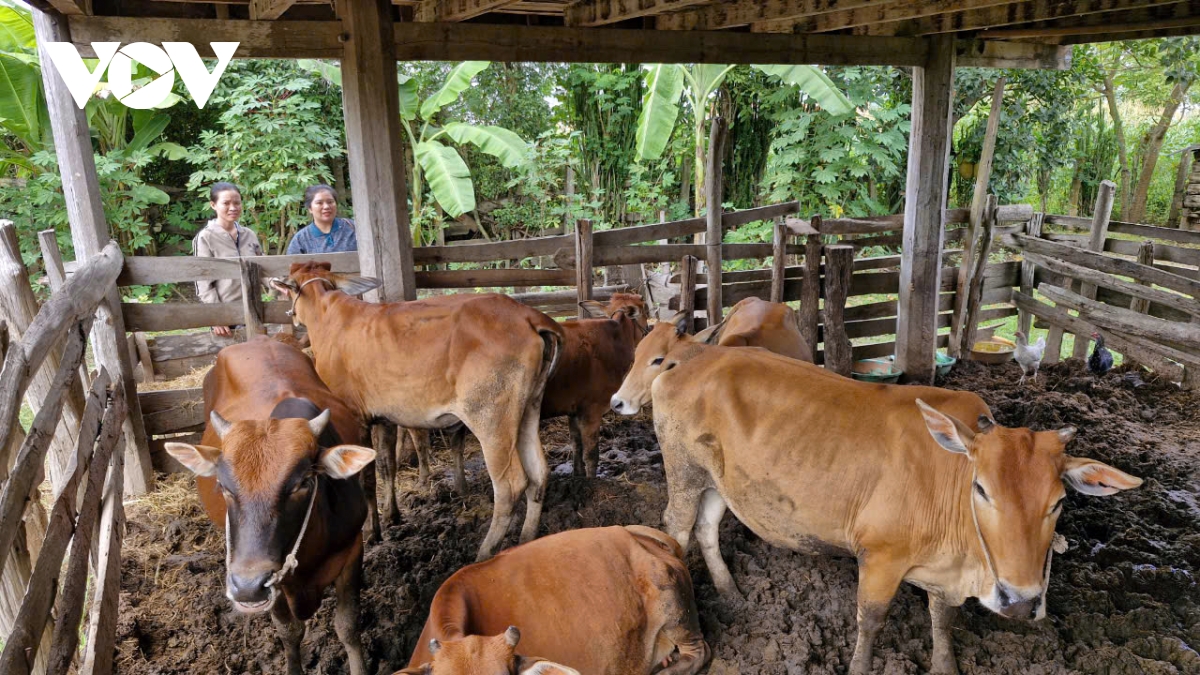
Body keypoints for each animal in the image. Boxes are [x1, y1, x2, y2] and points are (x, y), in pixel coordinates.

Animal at [164, 336, 369, 672]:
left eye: (303, 483)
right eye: (223, 487)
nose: (247, 586)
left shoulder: (352, 550)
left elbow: (348, 626)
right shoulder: (276, 586)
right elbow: (289, 632)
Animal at [274, 263, 564, 557]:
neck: (326, 314)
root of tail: (528, 315)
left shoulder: (355, 417)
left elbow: (366, 477)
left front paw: (371, 530)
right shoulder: (384, 418)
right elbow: (386, 466)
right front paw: (391, 516)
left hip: (490, 417)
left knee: (510, 486)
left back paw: (484, 552)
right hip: (529, 407)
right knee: (539, 474)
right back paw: (526, 539)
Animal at [614, 314, 1137, 672]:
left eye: (1060, 502)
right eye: (982, 490)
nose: (1021, 601)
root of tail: (695, 356)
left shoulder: (945, 576)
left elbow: (942, 622)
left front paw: (946, 665)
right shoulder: (881, 558)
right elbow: (870, 622)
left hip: (718, 480)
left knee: (707, 527)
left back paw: (731, 591)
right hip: (683, 470)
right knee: (677, 528)